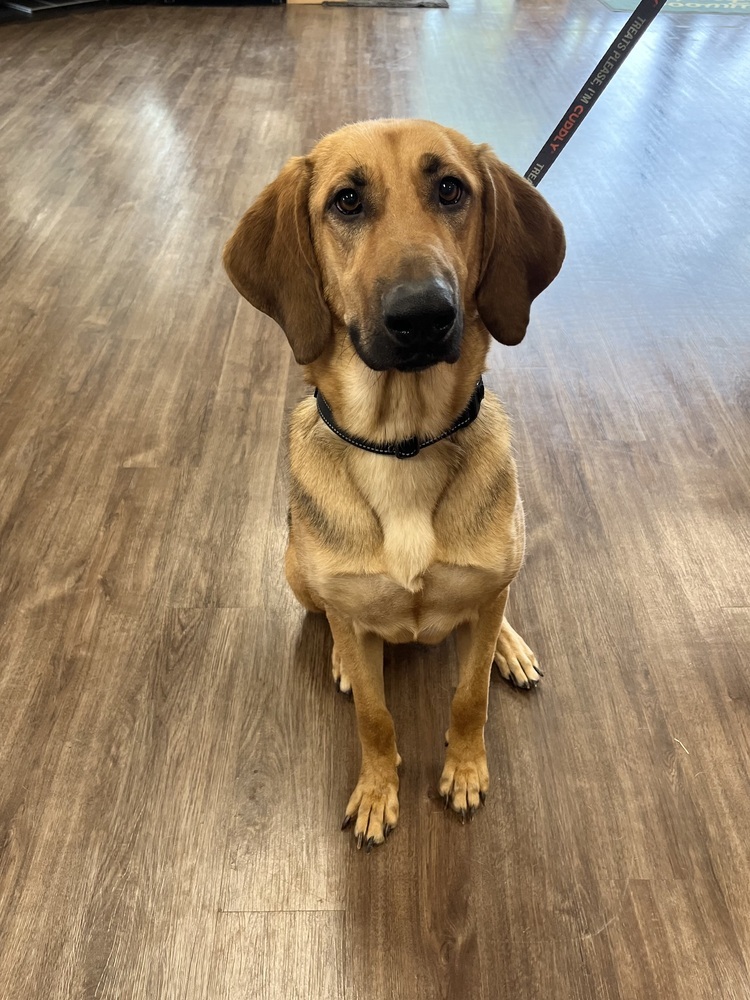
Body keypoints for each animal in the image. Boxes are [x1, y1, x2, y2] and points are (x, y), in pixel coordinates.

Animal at [223, 119, 564, 852]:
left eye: (451, 189)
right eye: (347, 201)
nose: (423, 315)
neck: (404, 443)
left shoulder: (485, 593)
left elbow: (469, 696)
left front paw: (464, 769)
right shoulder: (347, 611)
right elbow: (376, 719)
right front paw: (379, 791)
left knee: (494, 607)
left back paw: (508, 646)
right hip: (295, 569)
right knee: (331, 618)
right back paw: (345, 657)